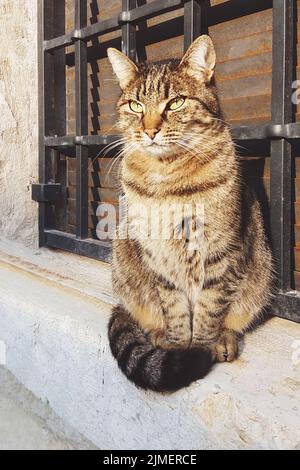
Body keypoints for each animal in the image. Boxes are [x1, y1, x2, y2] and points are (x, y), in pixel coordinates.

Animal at [106, 35, 274, 392]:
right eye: (136, 106)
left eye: (176, 103)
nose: (150, 130)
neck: (167, 178)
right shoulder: (159, 257)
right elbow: (175, 308)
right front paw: (178, 346)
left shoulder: (220, 253)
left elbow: (210, 309)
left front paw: (202, 347)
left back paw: (225, 339)